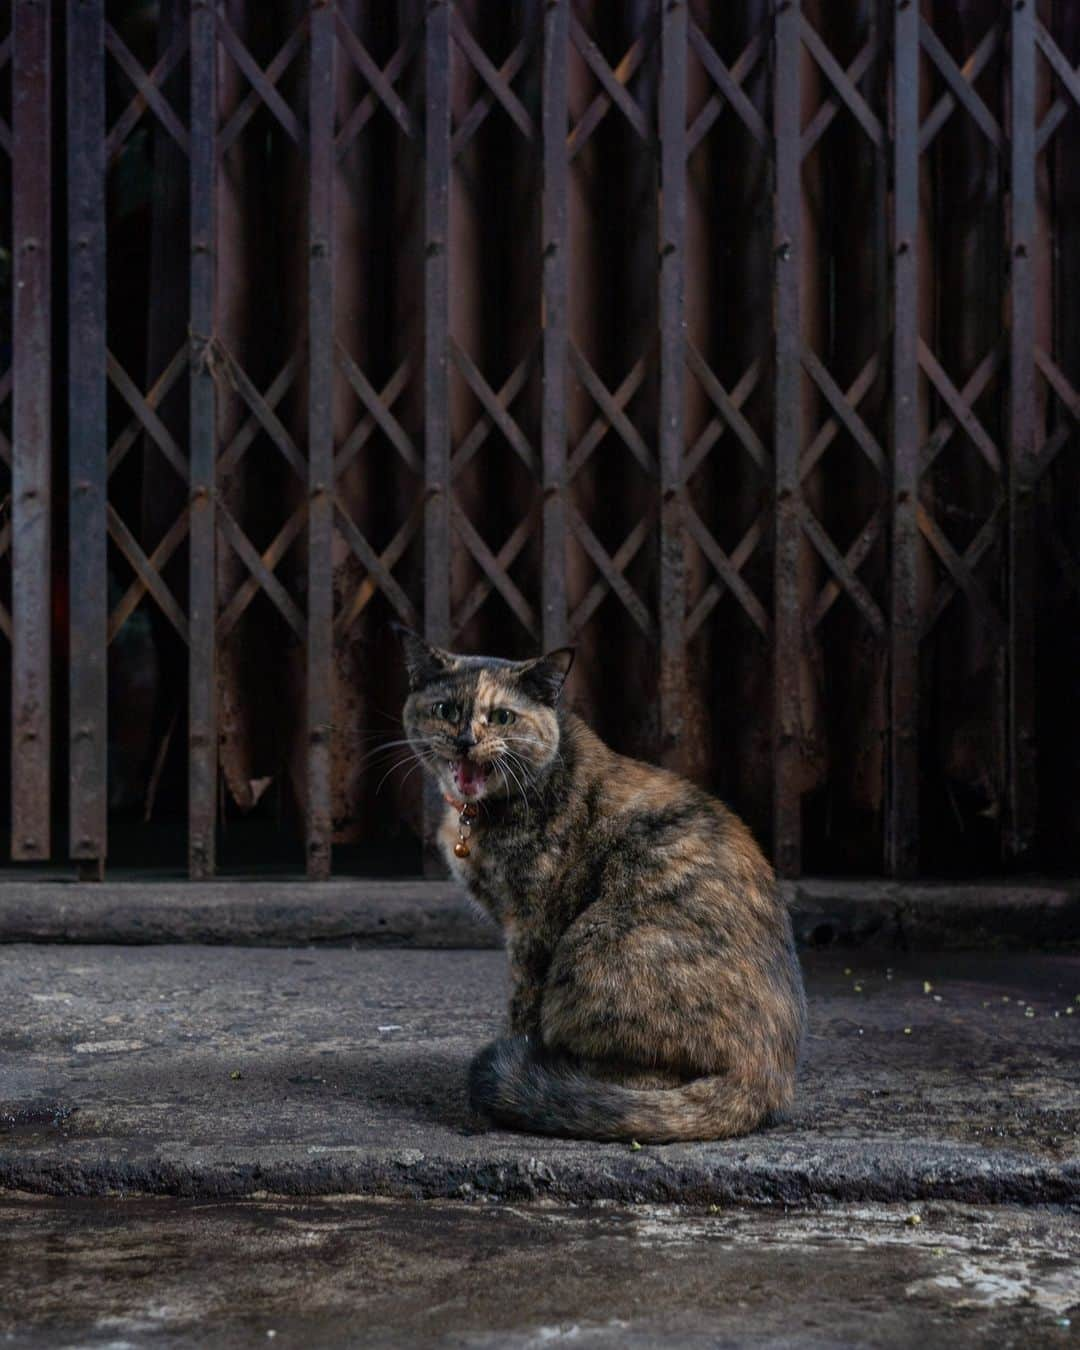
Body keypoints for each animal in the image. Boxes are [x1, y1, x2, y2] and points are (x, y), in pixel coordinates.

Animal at [396, 626, 799, 1134]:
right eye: (446, 709)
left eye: (504, 717)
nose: (467, 740)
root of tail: (768, 1078)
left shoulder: (533, 927)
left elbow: (522, 1007)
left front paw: (512, 1063)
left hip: (594, 945)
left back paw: (548, 1081)